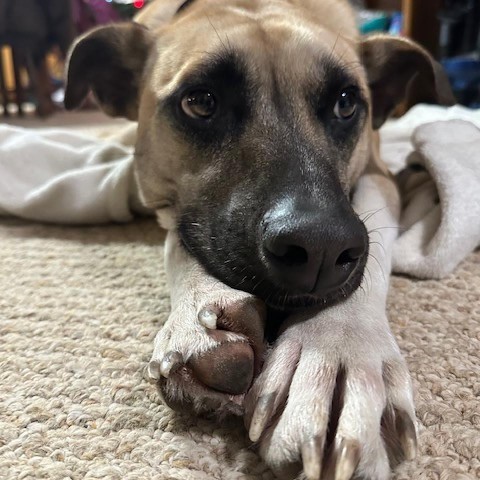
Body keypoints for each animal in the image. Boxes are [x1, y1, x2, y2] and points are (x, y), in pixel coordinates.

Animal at [63, 1, 454, 478]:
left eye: (345, 104)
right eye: (201, 102)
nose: (320, 248)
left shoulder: (380, 177)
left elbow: (370, 252)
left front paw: (335, 354)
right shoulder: (160, 198)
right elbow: (179, 237)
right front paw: (198, 318)